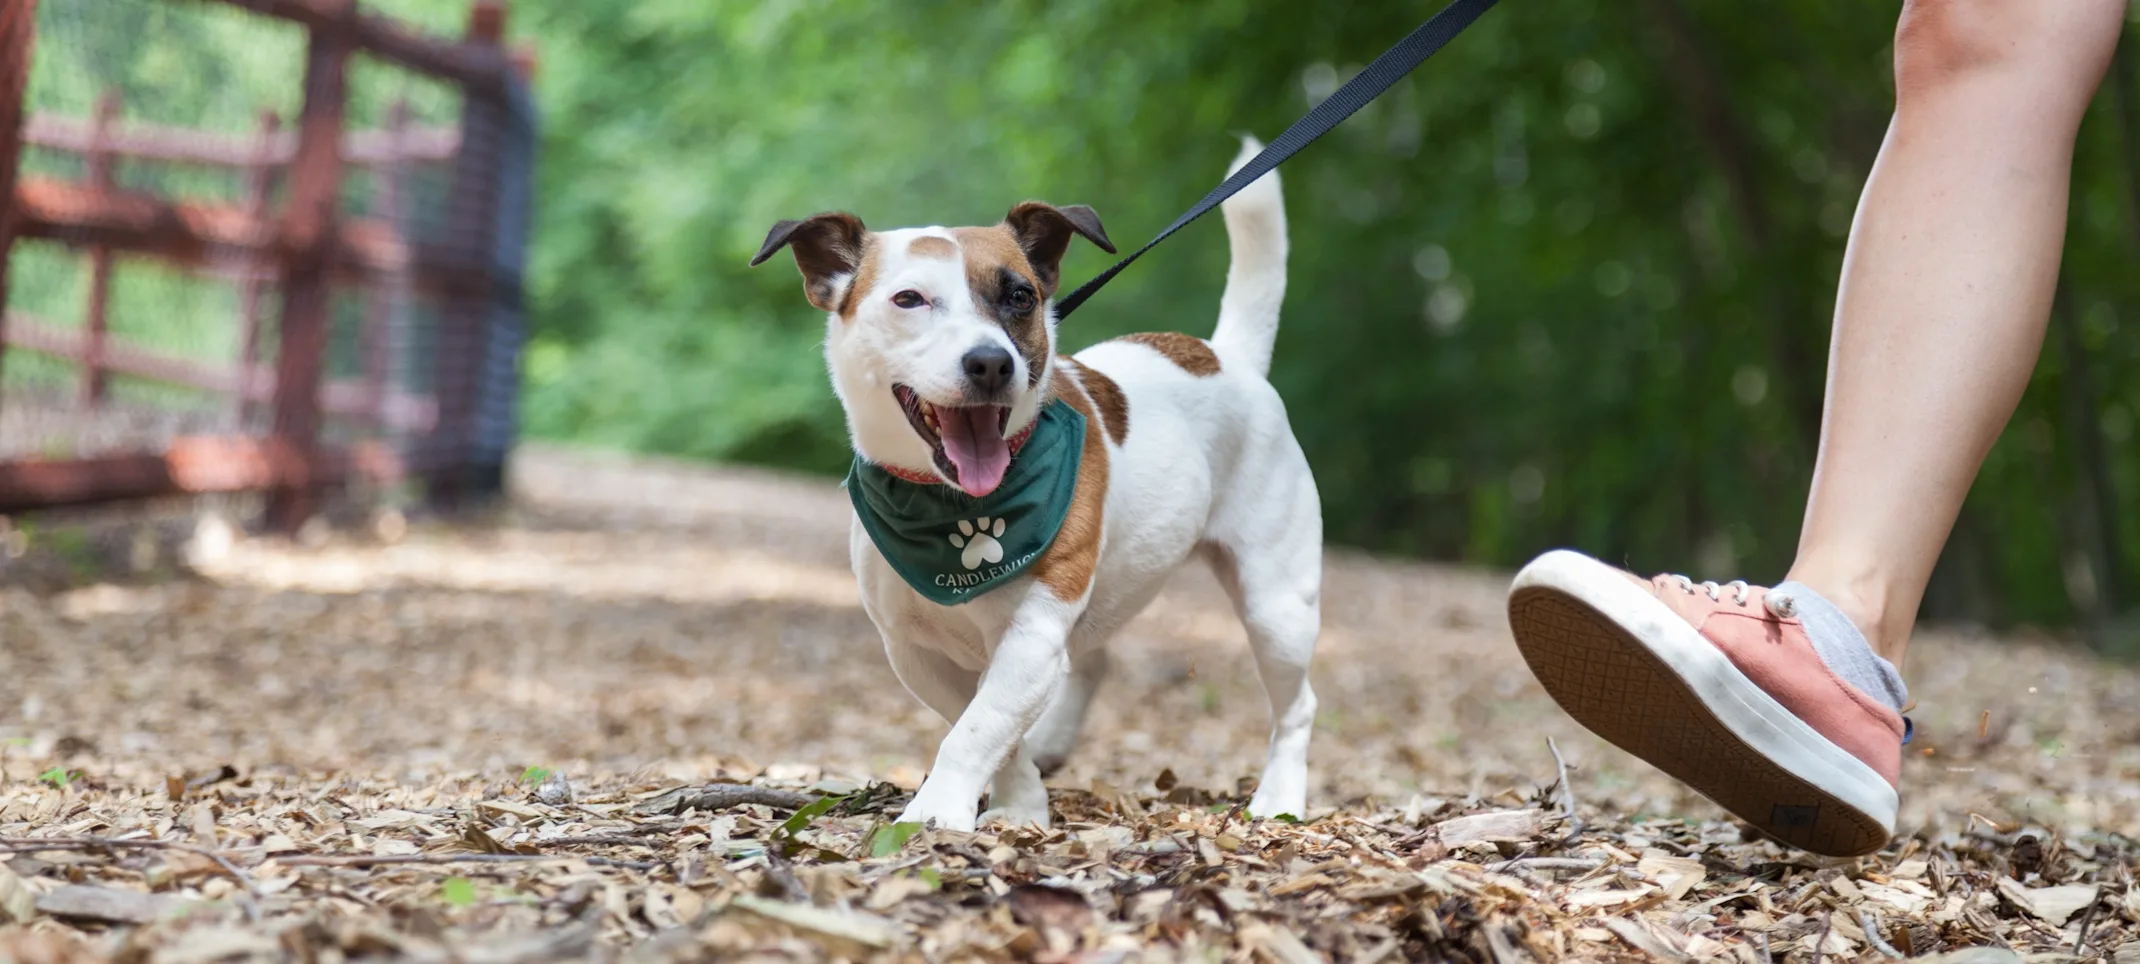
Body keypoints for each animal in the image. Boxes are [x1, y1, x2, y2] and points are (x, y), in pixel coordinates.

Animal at [753, 137, 1318, 835]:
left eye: (1020, 296)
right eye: (909, 300)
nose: (991, 362)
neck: (953, 509)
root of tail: (1226, 357)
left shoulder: (1032, 635)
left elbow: (978, 727)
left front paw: (939, 810)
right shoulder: (916, 651)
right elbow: (990, 727)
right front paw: (1021, 801)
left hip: (1277, 606)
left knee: (1297, 705)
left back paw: (1280, 796)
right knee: (1094, 660)